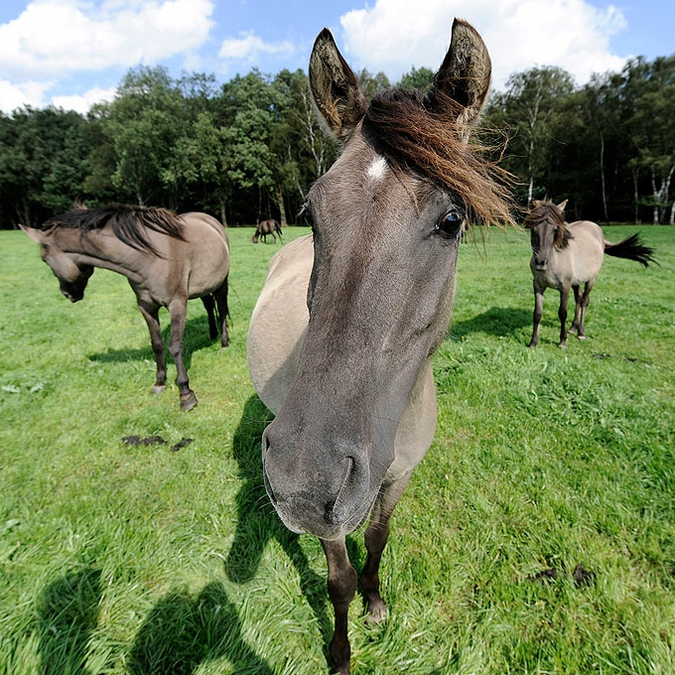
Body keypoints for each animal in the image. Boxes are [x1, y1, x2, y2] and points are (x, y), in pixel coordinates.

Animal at [20, 205, 230, 412]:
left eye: (44, 259)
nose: (67, 294)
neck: (150, 257)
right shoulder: (146, 307)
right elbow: (157, 344)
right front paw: (159, 383)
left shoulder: (177, 304)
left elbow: (175, 346)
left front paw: (186, 394)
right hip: (203, 286)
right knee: (209, 305)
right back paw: (212, 334)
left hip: (221, 282)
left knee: (221, 307)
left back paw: (224, 341)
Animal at [247, 21, 512, 675]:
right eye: (311, 211)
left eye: (451, 220)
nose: (301, 477)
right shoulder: (332, 510)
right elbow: (337, 579)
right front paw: (341, 654)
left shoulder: (397, 477)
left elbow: (377, 538)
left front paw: (375, 602)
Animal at [524, 199, 656, 348]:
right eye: (533, 228)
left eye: (555, 229)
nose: (540, 262)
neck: (554, 259)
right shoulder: (538, 286)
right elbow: (537, 313)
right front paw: (533, 342)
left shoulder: (565, 287)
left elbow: (562, 313)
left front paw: (562, 341)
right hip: (576, 282)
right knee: (579, 298)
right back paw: (573, 328)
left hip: (591, 279)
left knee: (585, 300)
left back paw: (581, 332)